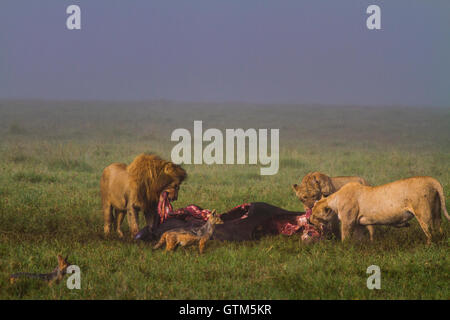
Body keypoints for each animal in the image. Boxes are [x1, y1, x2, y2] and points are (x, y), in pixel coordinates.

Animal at [310, 176, 450, 244]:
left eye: (315, 215)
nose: (310, 221)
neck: (335, 200)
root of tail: (432, 180)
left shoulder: (348, 222)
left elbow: (345, 237)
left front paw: (343, 248)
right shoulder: (359, 224)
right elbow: (359, 238)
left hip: (423, 214)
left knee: (430, 232)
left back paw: (428, 246)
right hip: (437, 212)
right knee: (439, 227)